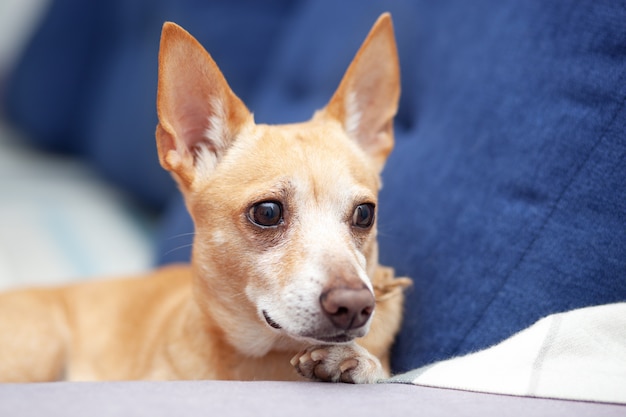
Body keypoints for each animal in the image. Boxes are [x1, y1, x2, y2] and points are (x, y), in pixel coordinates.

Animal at [0, 13, 410, 384]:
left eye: (364, 214)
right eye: (267, 212)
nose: (355, 305)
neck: (264, 363)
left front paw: (358, 362)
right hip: (43, 345)